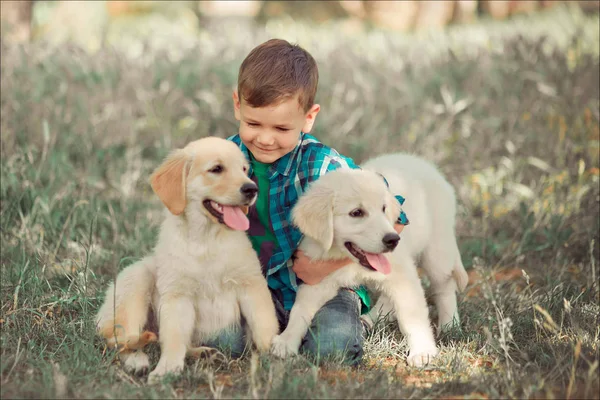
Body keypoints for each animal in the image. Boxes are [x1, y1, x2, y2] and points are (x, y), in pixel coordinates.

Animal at [95, 137, 278, 382]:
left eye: (244, 170)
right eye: (216, 169)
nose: (252, 189)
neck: (206, 240)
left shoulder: (251, 285)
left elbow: (264, 325)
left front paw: (276, 355)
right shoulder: (178, 296)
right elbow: (173, 339)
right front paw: (167, 369)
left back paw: (205, 353)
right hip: (136, 279)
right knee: (119, 341)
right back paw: (138, 361)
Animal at [268, 152, 468, 366]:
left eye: (383, 209)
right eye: (356, 213)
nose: (393, 240)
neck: (347, 260)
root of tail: (427, 166)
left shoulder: (402, 273)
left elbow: (412, 316)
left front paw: (423, 351)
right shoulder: (317, 278)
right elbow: (300, 309)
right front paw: (286, 341)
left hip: (437, 248)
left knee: (445, 286)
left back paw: (449, 325)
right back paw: (370, 318)